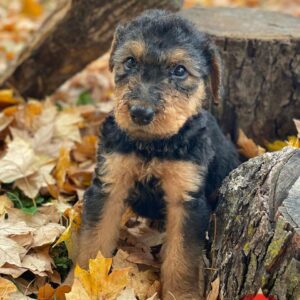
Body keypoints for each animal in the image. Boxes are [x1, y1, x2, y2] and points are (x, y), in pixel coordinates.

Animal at [75, 9, 239, 300]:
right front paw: (83, 285)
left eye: (180, 70)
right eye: (130, 61)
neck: (151, 146)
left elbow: (182, 261)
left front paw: (182, 296)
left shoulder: (186, 201)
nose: (140, 113)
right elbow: (93, 246)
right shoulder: (108, 187)